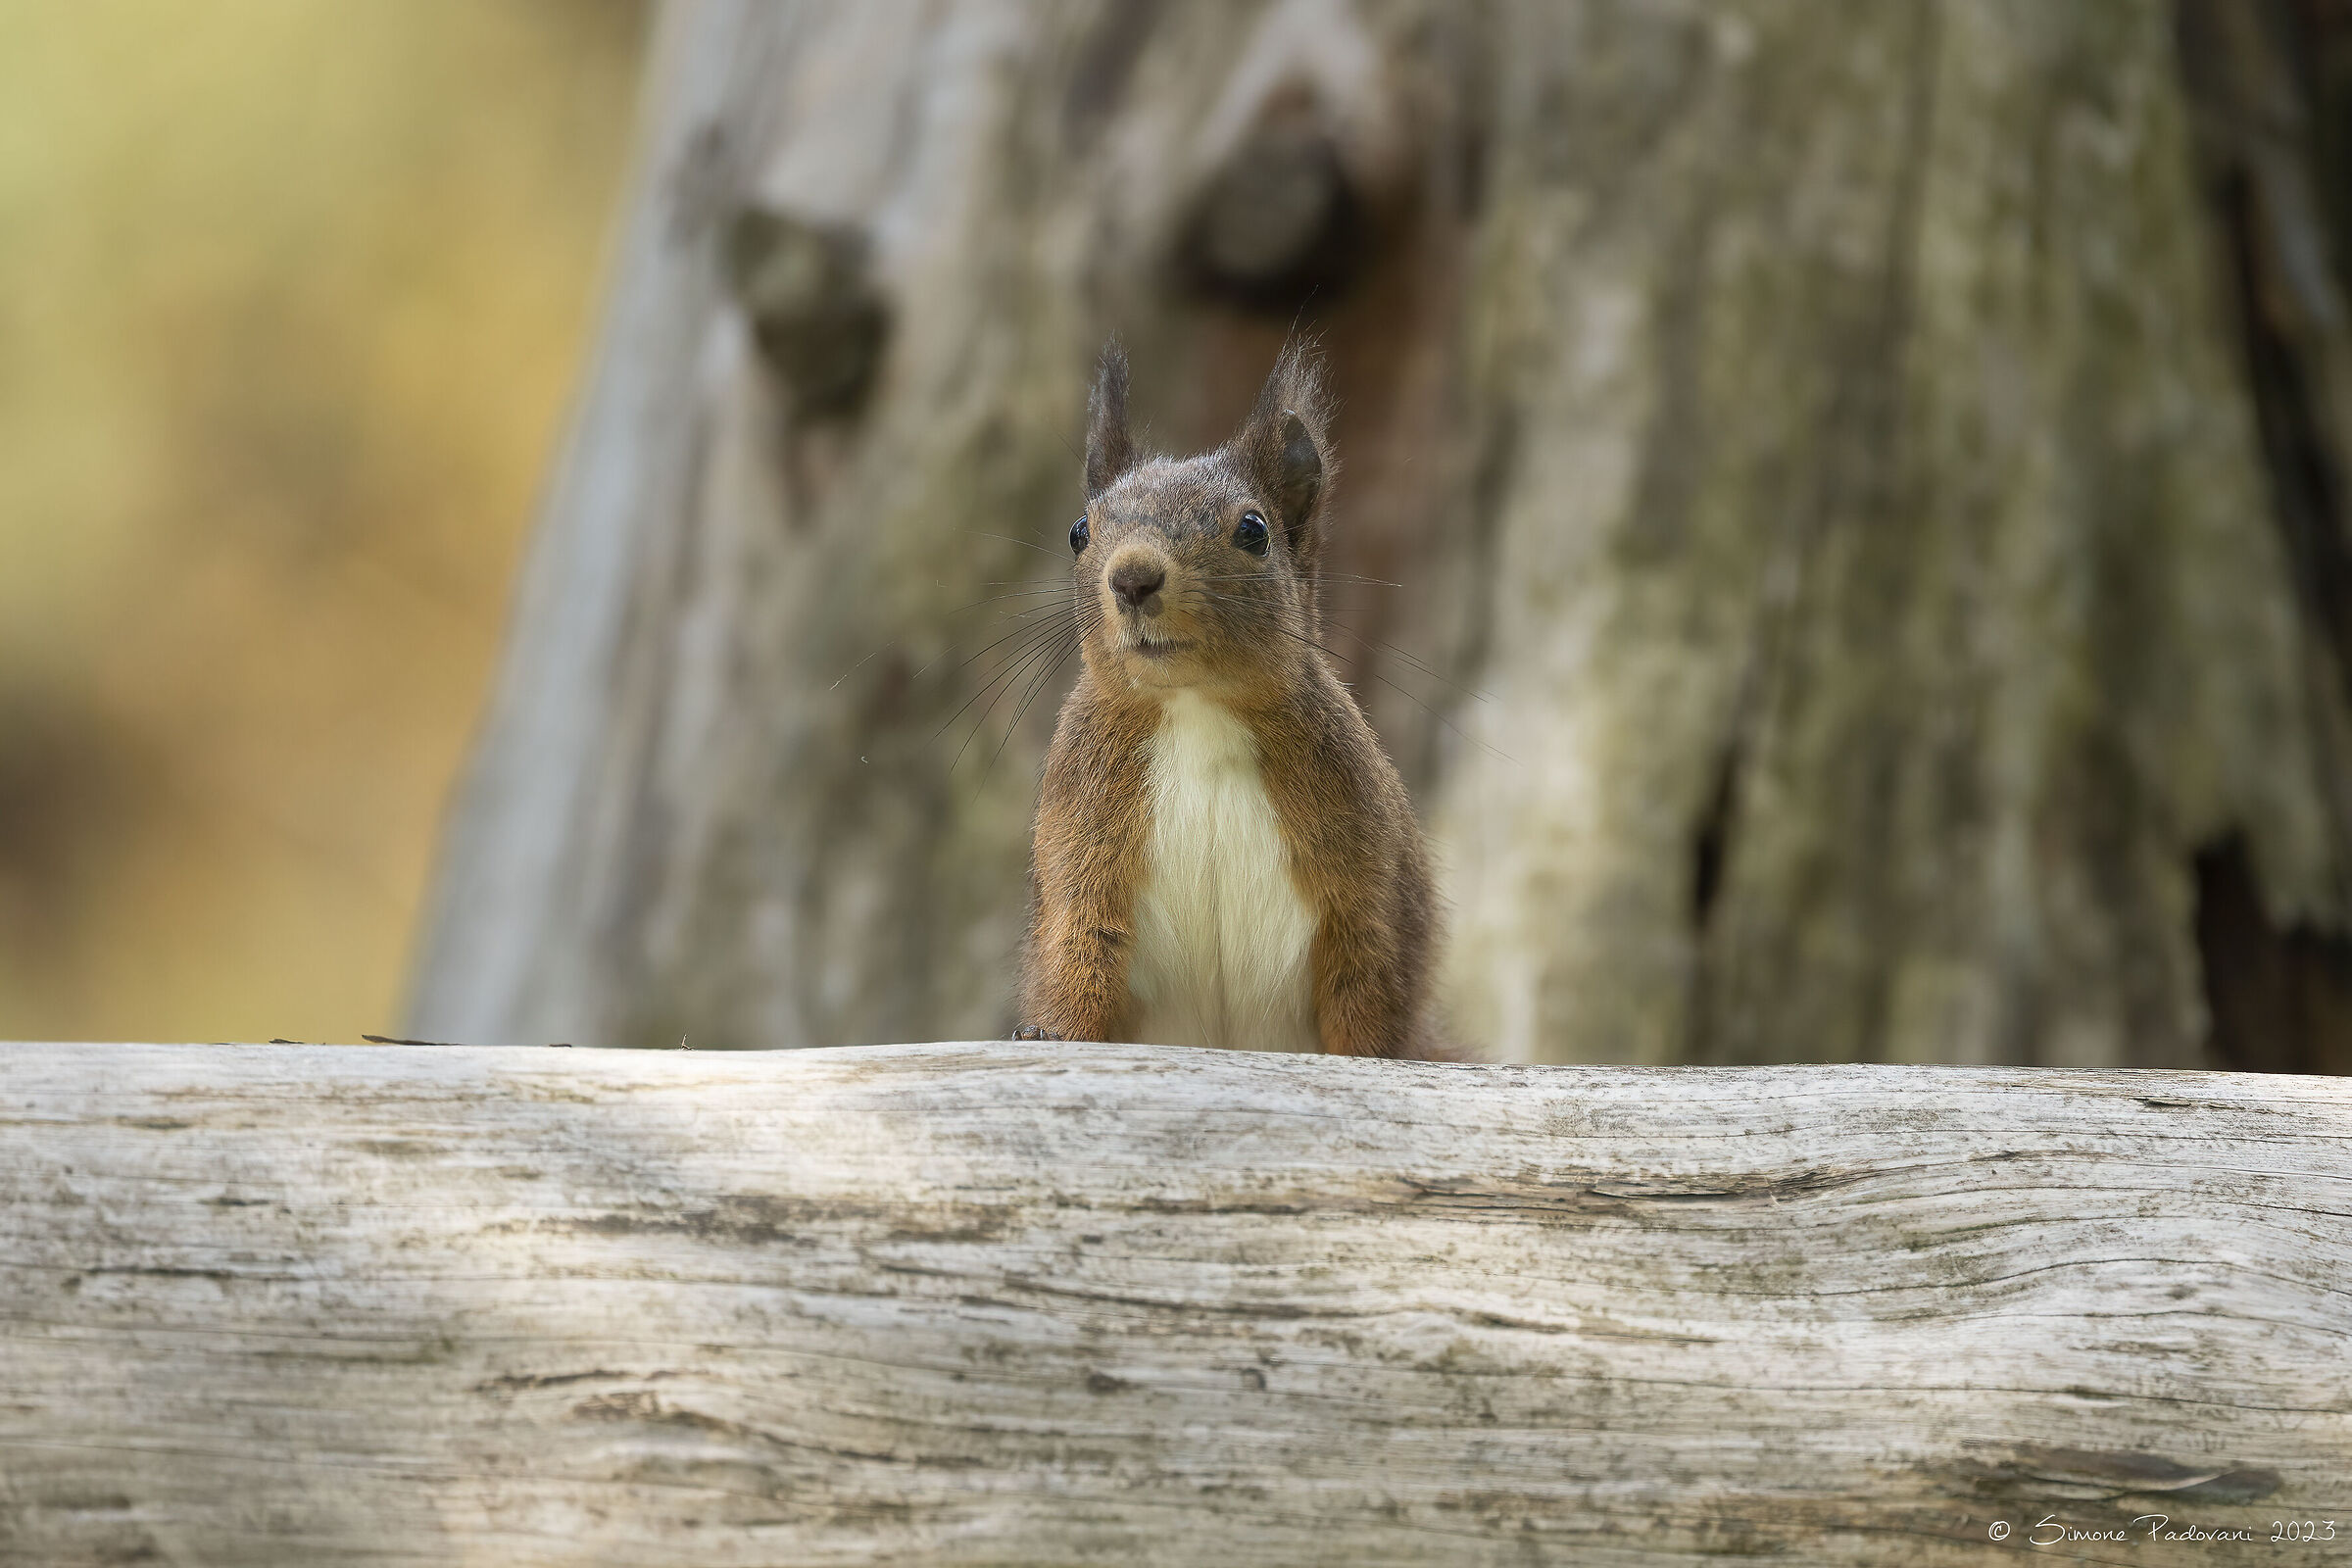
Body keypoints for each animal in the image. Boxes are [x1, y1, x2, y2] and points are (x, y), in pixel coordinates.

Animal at [1014, 341, 1448, 1058]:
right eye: (1079, 531)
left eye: (1253, 530)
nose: (1132, 576)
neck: (1198, 714)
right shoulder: (1080, 845)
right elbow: (1076, 956)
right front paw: (1048, 1032)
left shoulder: (1367, 883)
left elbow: (1365, 988)